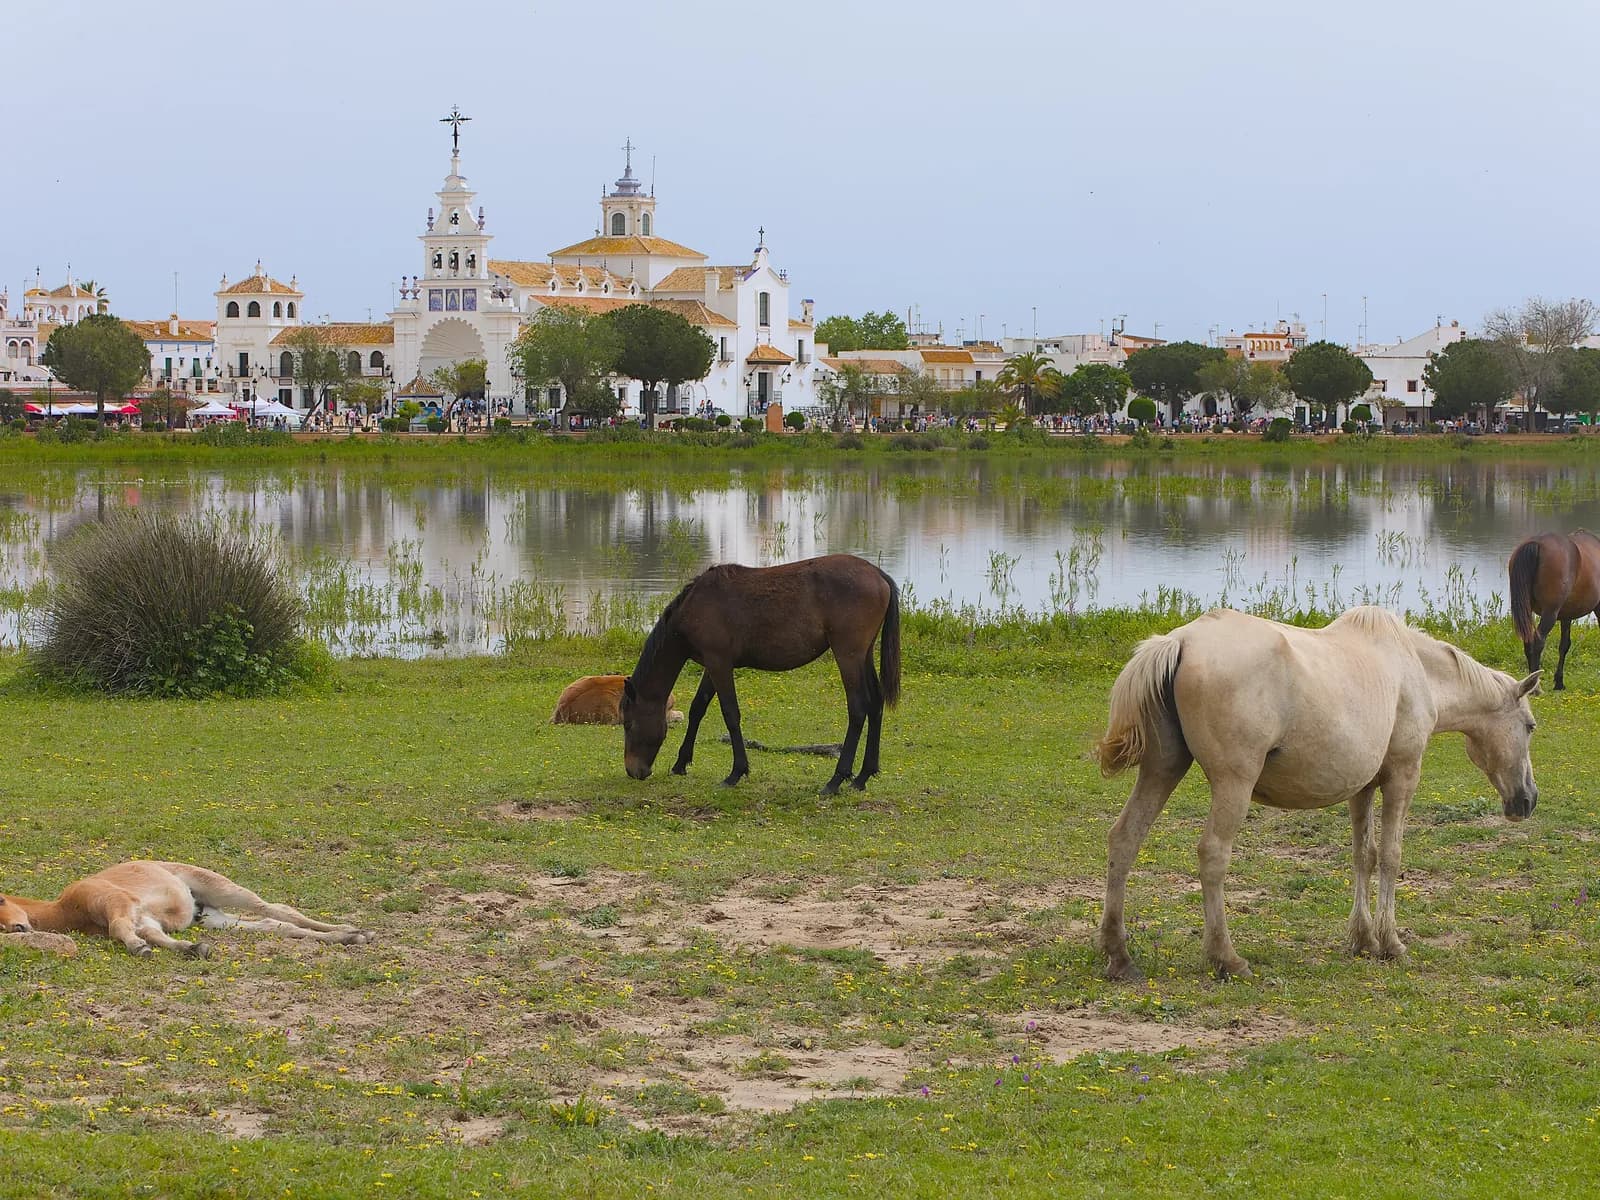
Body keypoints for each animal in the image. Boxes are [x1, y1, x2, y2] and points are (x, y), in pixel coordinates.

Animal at [0, 861, 374, 958]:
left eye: (1, 901)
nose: (20, 928)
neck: (68, 907)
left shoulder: (118, 903)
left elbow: (120, 929)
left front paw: (139, 949)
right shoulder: (145, 919)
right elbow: (154, 935)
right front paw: (193, 948)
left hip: (222, 888)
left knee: (278, 908)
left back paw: (358, 931)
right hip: (215, 918)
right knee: (273, 924)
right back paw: (351, 937)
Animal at [620, 554, 900, 793]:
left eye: (628, 724)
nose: (633, 770)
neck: (696, 606)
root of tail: (877, 574)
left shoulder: (719, 663)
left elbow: (730, 714)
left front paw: (736, 772)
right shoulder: (713, 665)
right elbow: (698, 708)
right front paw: (681, 763)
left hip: (848, 655)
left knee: (858, 708)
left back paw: (836, 779)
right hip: (863, 655)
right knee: (875, 704)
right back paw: (862, 776)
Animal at [1094, 606, 1539, 981]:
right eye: (1530, 726)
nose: (1528, 799)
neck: (1413, 668)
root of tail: (1180, 641)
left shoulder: (1362, 788)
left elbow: (1364, 856)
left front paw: (1363, 940)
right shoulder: (1402, 777)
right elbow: (1391, 856)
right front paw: (1391, 943)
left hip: (1161, 769)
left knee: (1125, 838)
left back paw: (1119, 955)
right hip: (1233, 783)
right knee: (1213, 855)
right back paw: (1227, 958)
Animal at [1508, 530, 1600, 690]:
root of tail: (1537, 543)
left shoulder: (1566, 616)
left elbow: (1564, 645)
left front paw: (1559, 682)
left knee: (1528, 641)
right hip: (1550, 613)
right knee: (1538, 641)